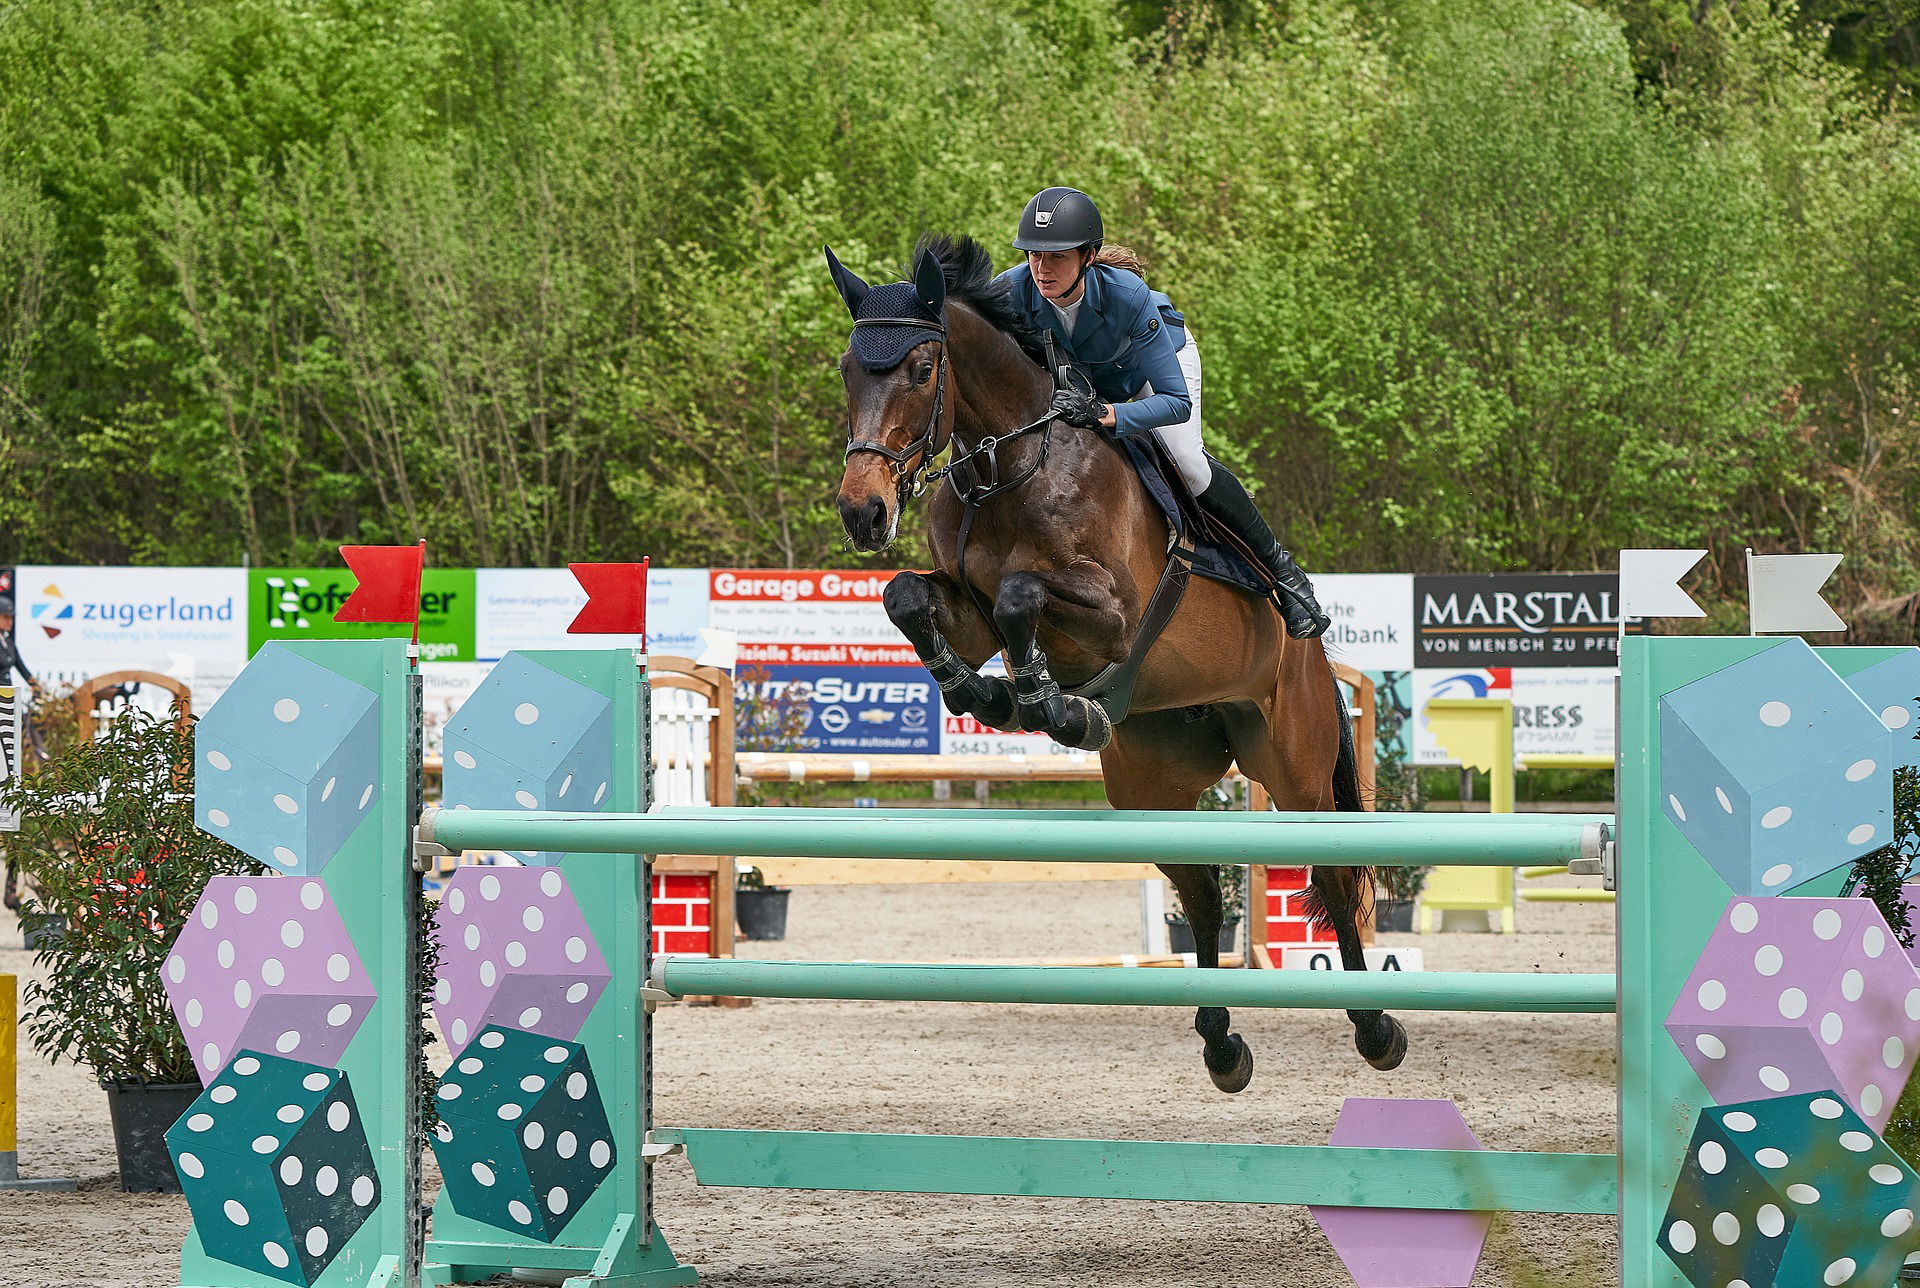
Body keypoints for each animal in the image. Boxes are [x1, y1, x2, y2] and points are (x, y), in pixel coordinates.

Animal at [825, 237, 1413, 1090]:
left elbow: (1023, 594)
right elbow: (909, 597)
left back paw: (1375, 1029)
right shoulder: (964, 608)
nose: (863, 512)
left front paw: (1039, 700)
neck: (1013, 463)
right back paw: (1222, 1045)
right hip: (1151, 781)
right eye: (848, 368)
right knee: (1200, 893)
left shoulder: (1113, 617)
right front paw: (993, 695)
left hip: (1294, 762)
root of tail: (1312, 655)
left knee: (1331, 875)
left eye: (922, 369)